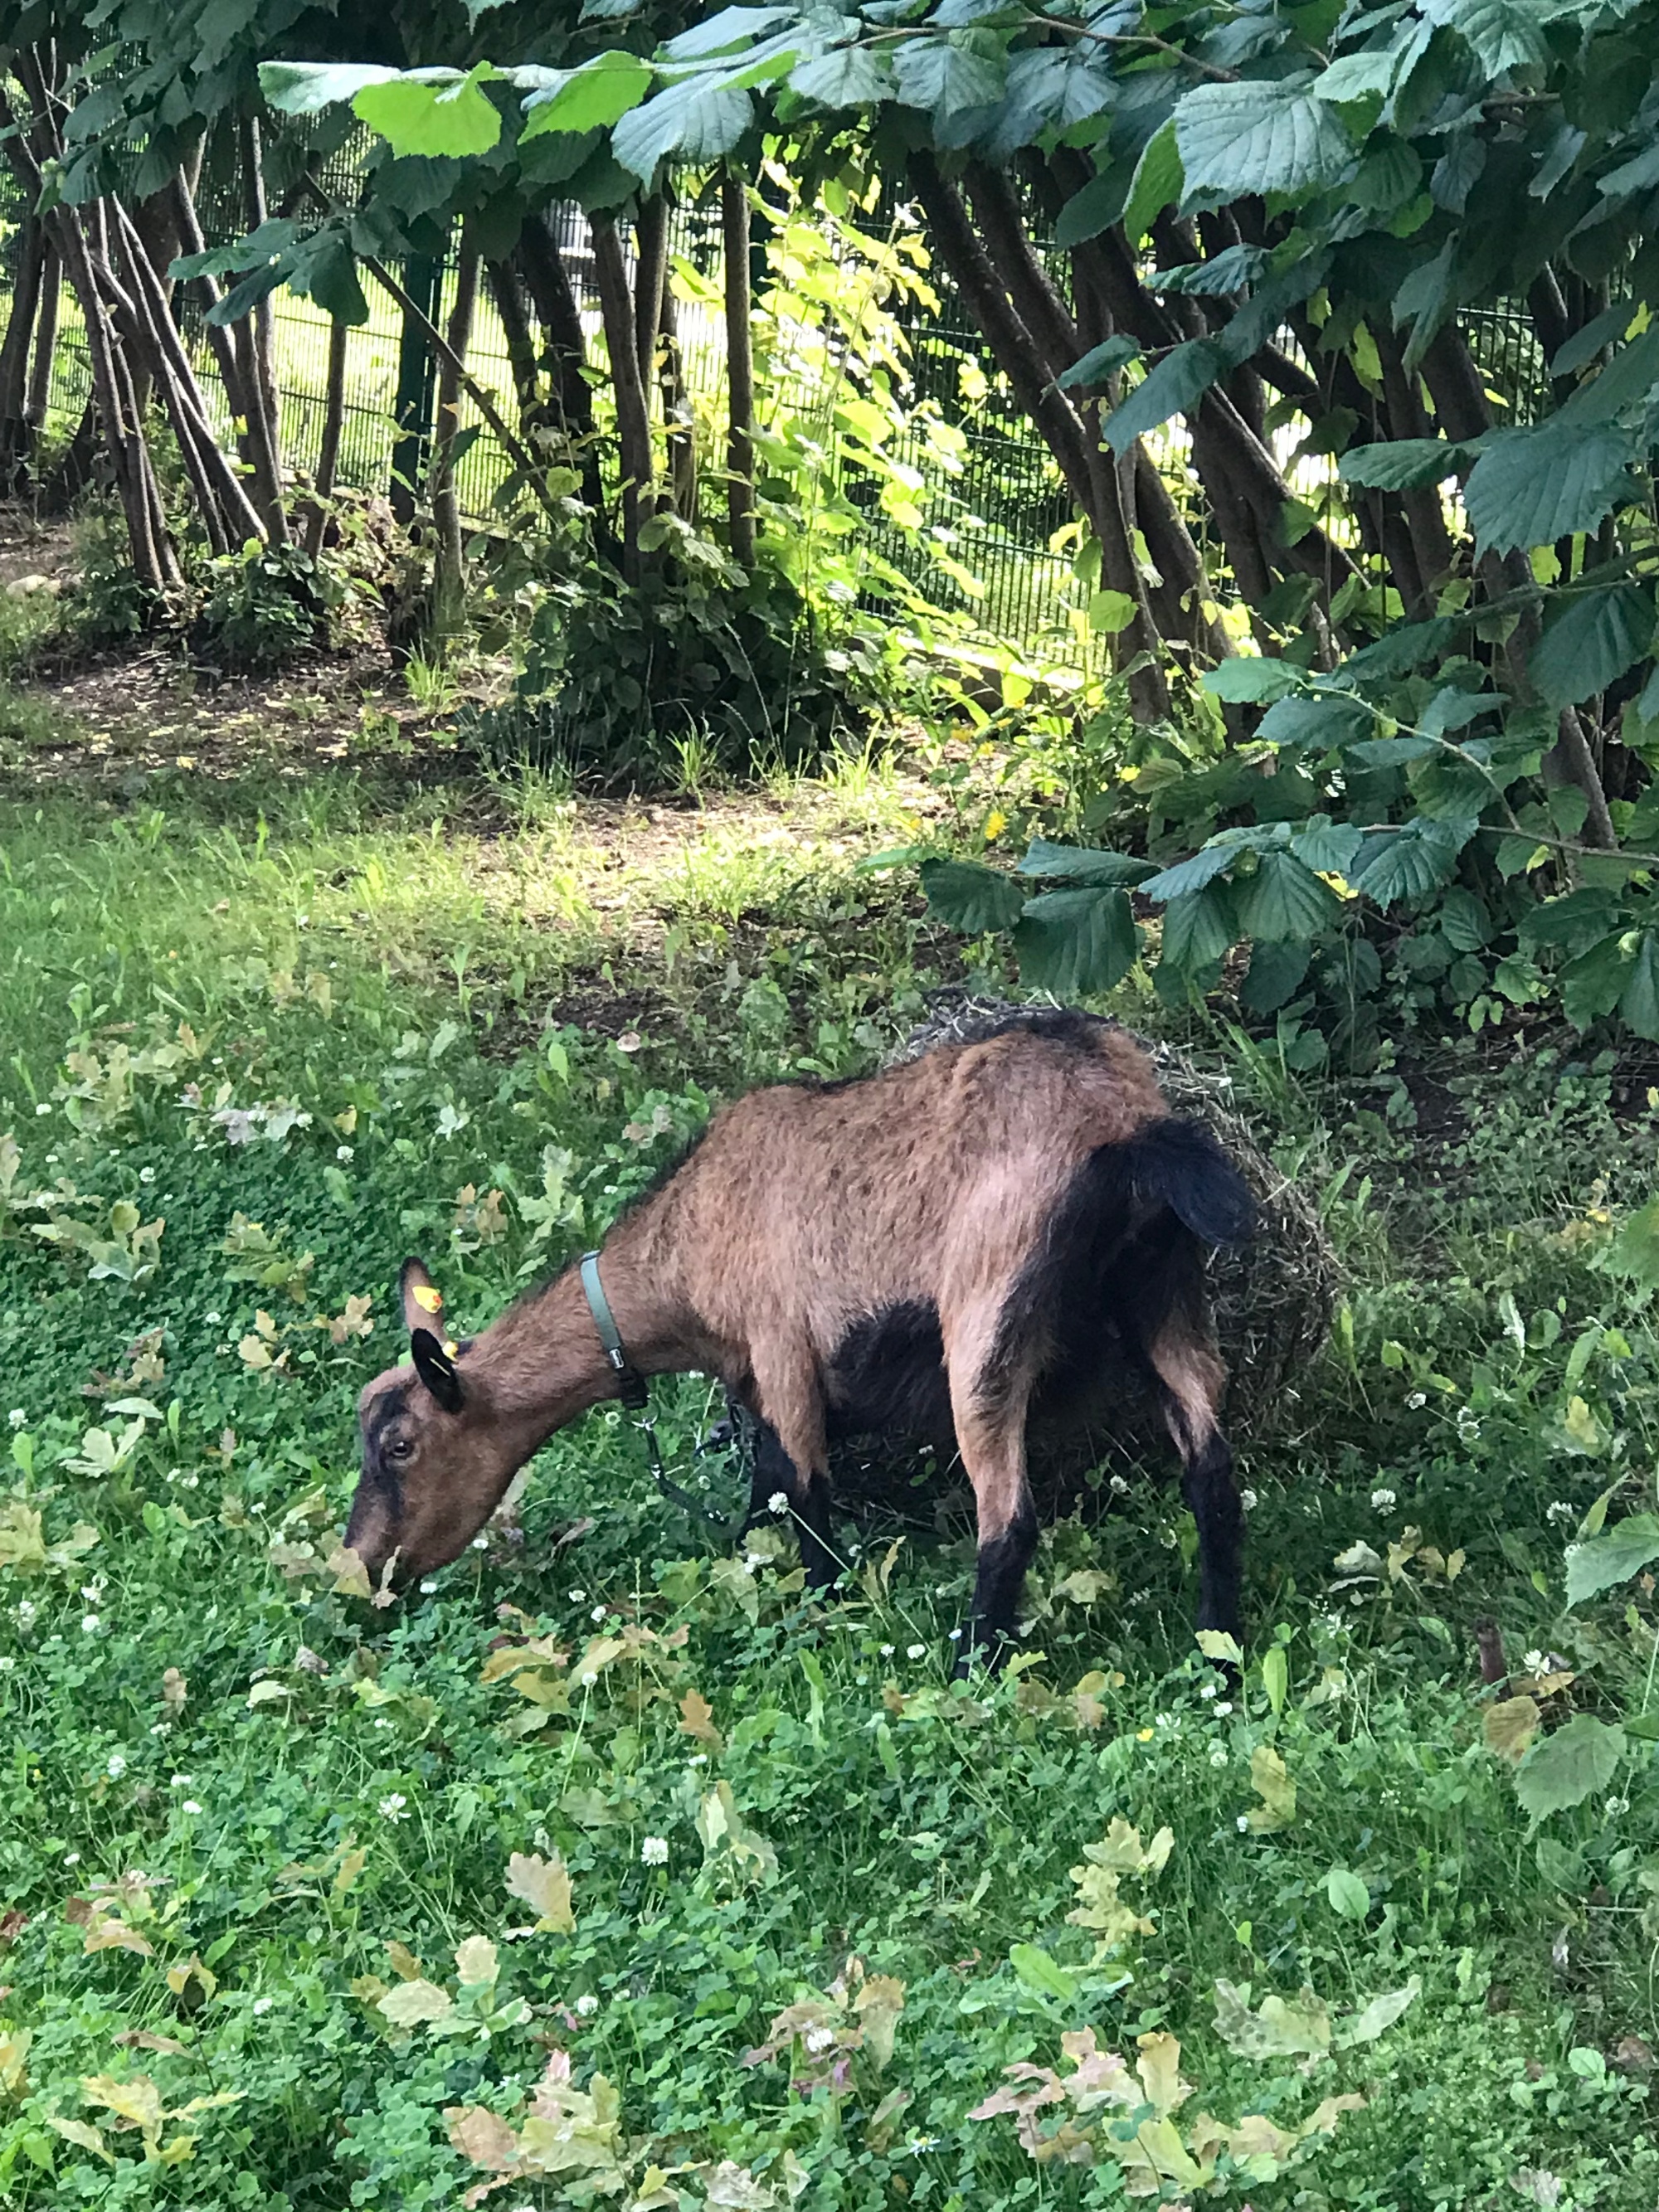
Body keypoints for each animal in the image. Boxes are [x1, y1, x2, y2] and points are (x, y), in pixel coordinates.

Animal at [344, 1009, 1255, 1657]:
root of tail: (1127, 1124)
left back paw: (972, 1665)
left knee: (1010, 1516)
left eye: (400, 1446)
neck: (681, 1244)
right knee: (1210, 1469)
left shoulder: (782, 1350)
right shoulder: (750, 1380)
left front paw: (822, 1611)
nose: (361, 1567)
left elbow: (809, 1497)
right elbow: (769, 1486)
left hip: (987, 1315)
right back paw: (1219, 1646)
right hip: (1162, 1285)